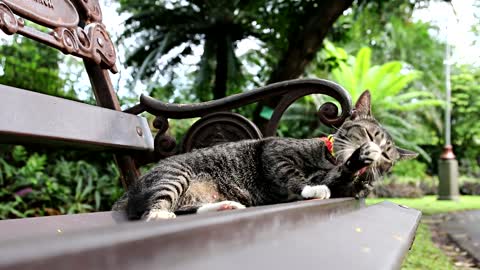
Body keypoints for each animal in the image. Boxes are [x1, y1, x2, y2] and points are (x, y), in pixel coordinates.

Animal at [113, 89, 416, 220]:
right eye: (370, 135)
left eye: (388, 159)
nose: (378, 158)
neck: (328, 159)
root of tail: (129, 193)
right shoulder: (273, 151)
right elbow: (291, 174)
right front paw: (313, 187)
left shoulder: (338, 181)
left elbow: (343, 180)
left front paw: (362, 178)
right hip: (176, 175)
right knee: (151, 212)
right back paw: (161, 216)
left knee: (183, 207)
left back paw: (224, 206)